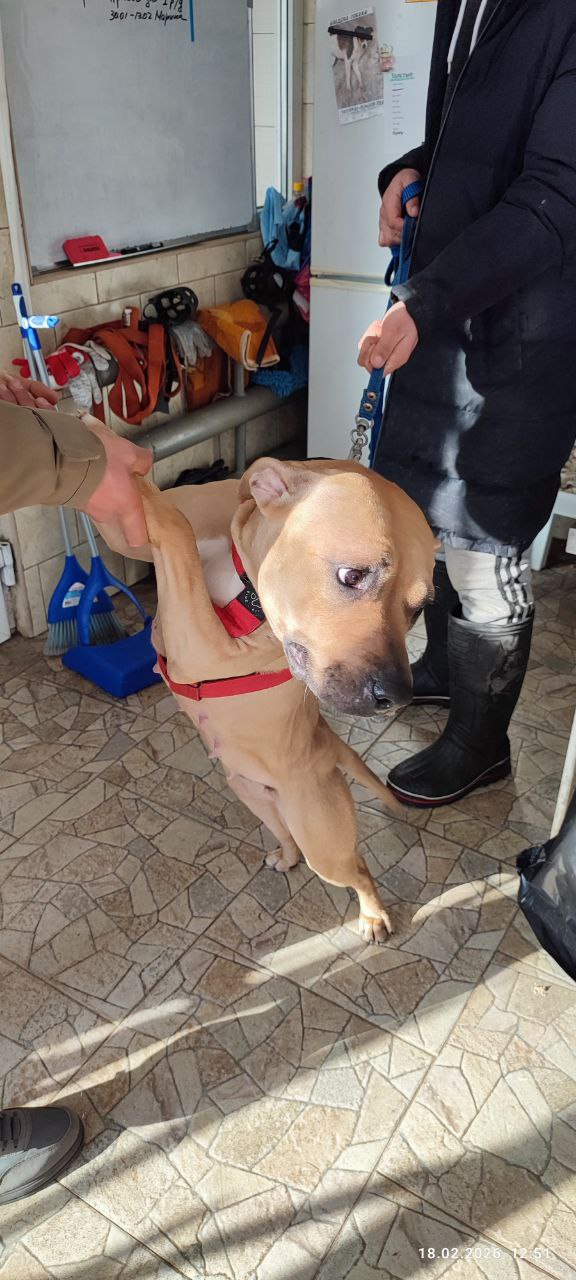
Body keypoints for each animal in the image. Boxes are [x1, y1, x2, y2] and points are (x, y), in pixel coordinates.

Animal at [99, 457, 436, 943]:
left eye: (419, 608)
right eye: (353, 575)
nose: (396, 697)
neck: (241, 573)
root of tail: (329, 743)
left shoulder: (204, 647)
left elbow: (177, 536)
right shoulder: (131, 539)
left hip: (324, 842)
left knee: (357, 868)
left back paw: (373, 916)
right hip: (252, 793)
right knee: (287, 835)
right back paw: (286, 856)